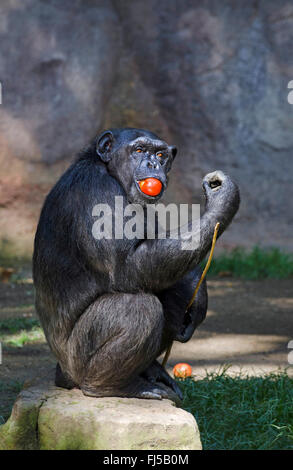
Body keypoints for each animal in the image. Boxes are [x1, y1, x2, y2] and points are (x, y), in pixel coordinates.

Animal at [32, 127, 240, 400]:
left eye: (160, 154)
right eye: (139, 150)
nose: (153, 164)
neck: (109, 170)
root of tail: (62, 378)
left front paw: (198, 300)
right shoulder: (97, 189)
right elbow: (126, 266)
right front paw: (222, 201)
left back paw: (151, 371)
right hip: (76, 362)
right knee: (137, 308)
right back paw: (114, 387)